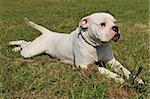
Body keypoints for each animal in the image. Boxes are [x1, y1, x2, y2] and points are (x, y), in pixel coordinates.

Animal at [8, 12, 144, 83]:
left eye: (115, 22)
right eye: (102, 24)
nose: (116, 28)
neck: (97, 46)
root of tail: (48, 32)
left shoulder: (112, 61)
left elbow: (124, 69)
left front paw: (135, 79)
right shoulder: (85, 65)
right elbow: (103, 70)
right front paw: (117, 78)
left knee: (26, 42)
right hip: (30, 52)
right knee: (25, 44)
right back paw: (13, 46)